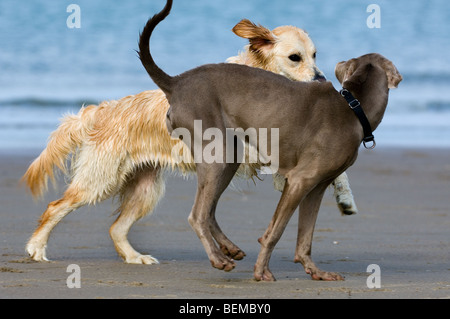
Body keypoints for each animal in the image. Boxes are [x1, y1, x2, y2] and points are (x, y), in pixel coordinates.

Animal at [23, 19, 356, 264]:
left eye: (315, 55)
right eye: (294, 58)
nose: (322, 80)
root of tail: (103, 110)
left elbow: (336, 172)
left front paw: (345, 199)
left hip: (147, 189)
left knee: (116, 228)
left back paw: (136, 257)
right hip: (101, 180)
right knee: (55, 207)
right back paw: (37, 248)